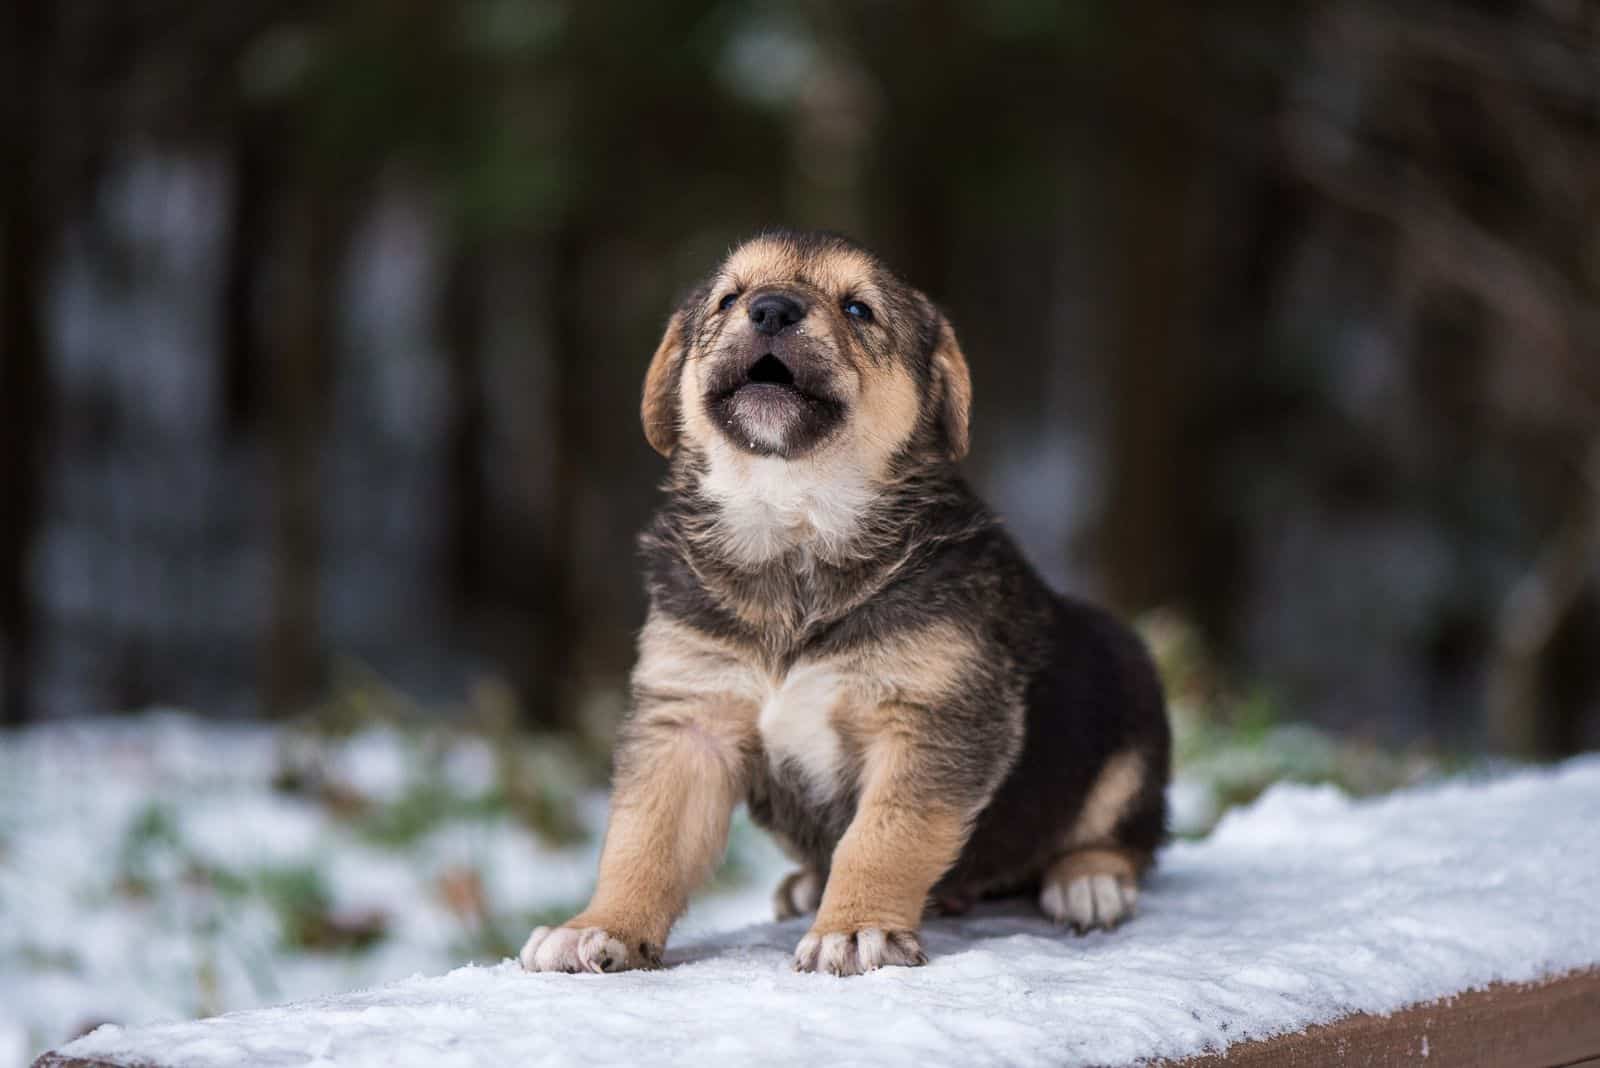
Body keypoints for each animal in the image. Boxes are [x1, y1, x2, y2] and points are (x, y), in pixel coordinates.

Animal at [518, 231, 1171, 978]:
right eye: (730, 298)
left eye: (859, 309)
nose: (771, 309)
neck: (795, 527)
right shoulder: (687, 720)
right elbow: (642, 836)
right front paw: (599, 926)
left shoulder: (932, 719)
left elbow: (885, 835)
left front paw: (856, 929)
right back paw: (807, 884)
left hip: (1131, 703)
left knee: (1126, 835)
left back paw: (1089, 881)